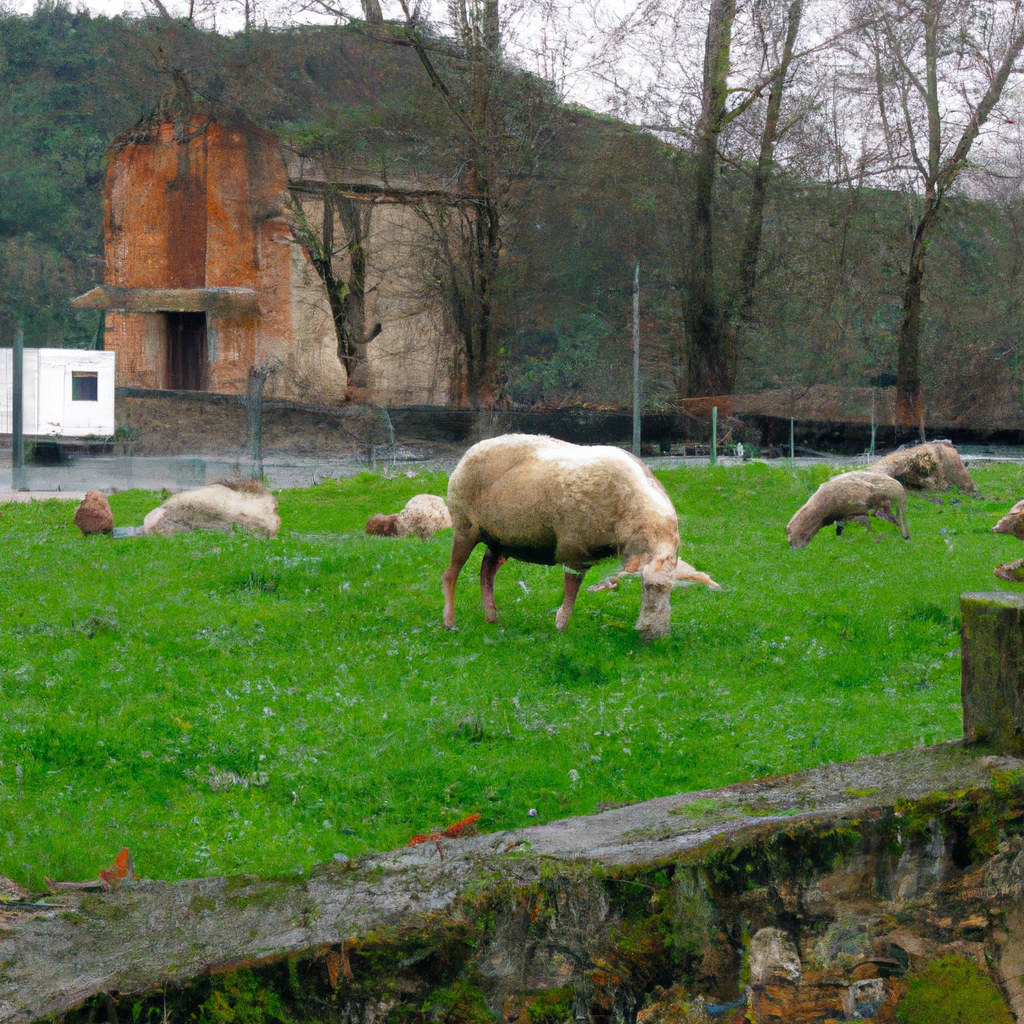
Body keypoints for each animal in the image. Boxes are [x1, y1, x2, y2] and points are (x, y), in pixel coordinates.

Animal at [442, 434, 720, 638]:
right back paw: (449, 621)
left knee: (487, 570)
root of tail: (474, 448)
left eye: (670, 591)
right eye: (647, 587)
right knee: (450, 574)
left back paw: (491, 616)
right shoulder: (575, 550)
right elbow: (572, 590)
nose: (654, 635)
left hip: (501, 539)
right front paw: (561, 626)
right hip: (465, 527)